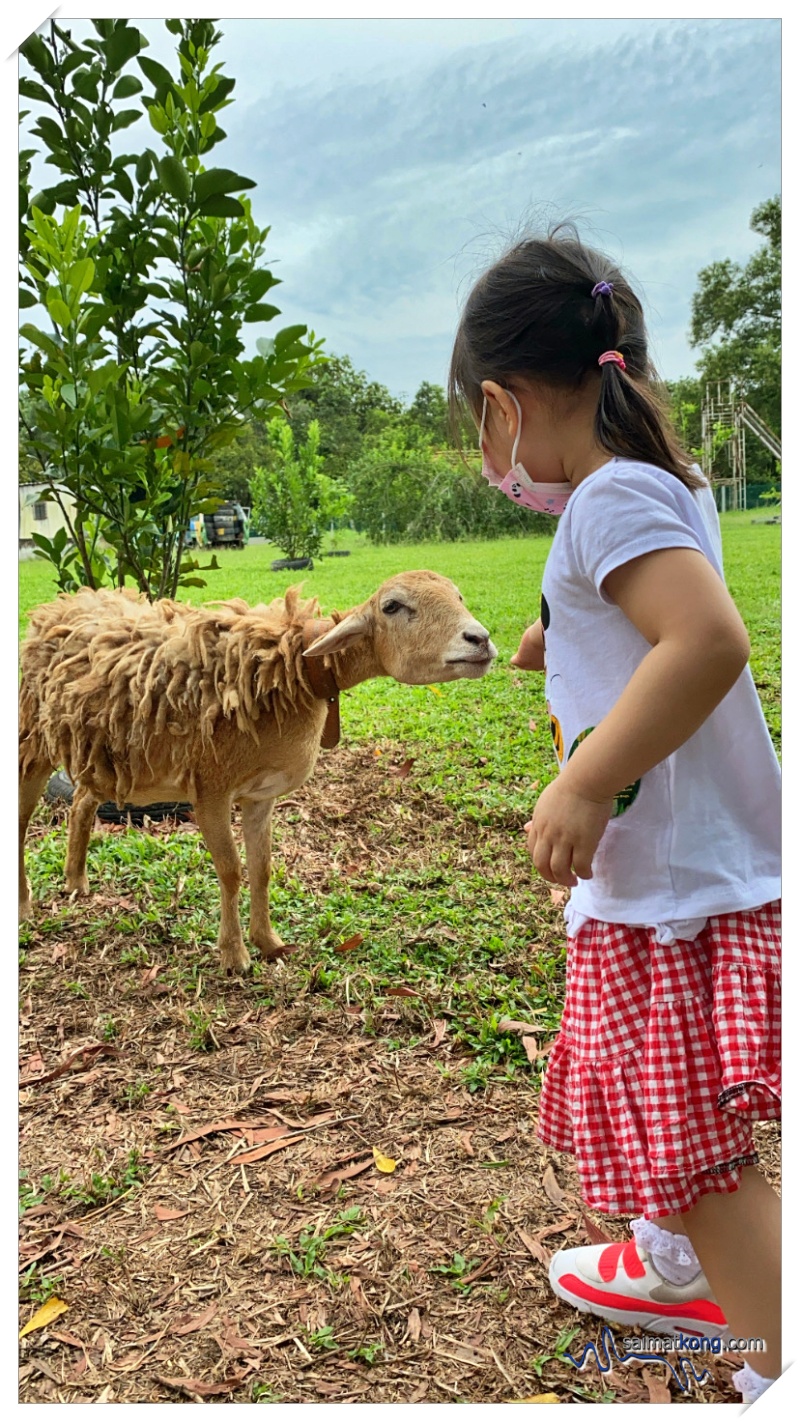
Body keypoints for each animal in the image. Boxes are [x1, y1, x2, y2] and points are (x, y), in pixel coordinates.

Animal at [18, 571, 497, 972]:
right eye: (393, 606)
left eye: (458, 595)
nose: (480, 639)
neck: (292, 670)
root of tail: (58, 606)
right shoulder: (210, 789)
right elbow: (231, 870)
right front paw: (234, 956)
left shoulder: (261, 795)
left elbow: (263, 868)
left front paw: (269, 942)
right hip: (32, 738)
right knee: (23, 820)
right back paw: (23, 906)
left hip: (102, 753)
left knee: (82, 802)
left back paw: (75, 881)